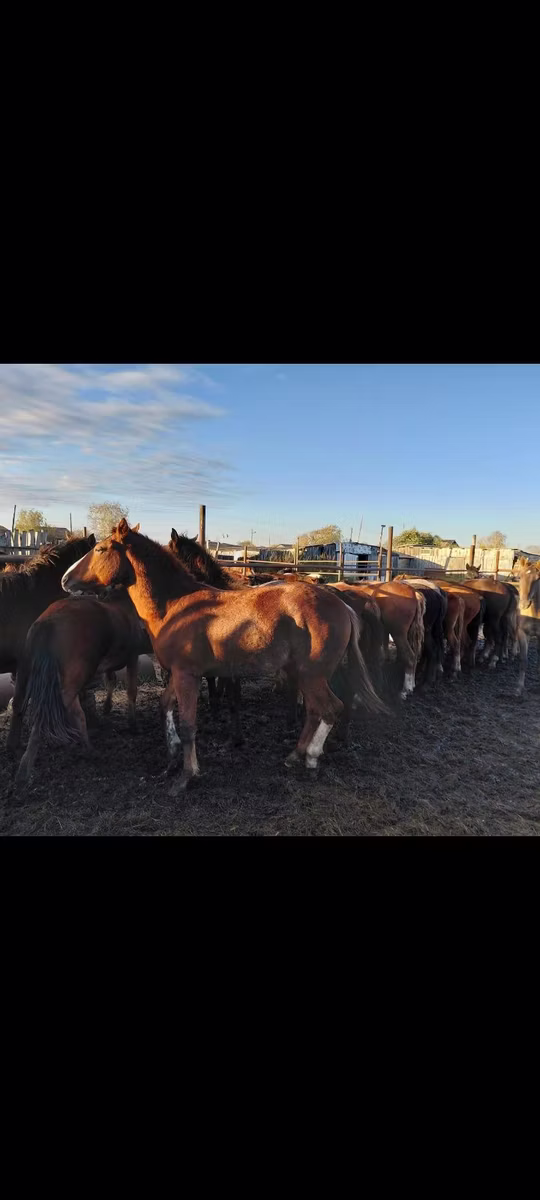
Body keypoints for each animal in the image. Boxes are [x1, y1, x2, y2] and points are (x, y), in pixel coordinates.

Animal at [7, 588, 150, 787]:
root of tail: (46, 624)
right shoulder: (132, 656)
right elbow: (131, 691)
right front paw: (133, 724)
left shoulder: (108, 664)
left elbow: (111, 681)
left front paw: (107, 707)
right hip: (71, 676)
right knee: (56, 712)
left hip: (26, 669)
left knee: (21, 703)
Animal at [62, 520, 386, 792]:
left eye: (100, 549)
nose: (65, 580)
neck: (176, 605)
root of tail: (343, 605)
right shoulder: (178, 673)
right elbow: (165, 706)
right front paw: (171, 758)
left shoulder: (187, 676)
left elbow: (189, 724)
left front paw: (186, 776)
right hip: (305, 675)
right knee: (315, 711)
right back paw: (295, 755)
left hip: (313, 675)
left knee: (331, 708)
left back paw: (311, 758)